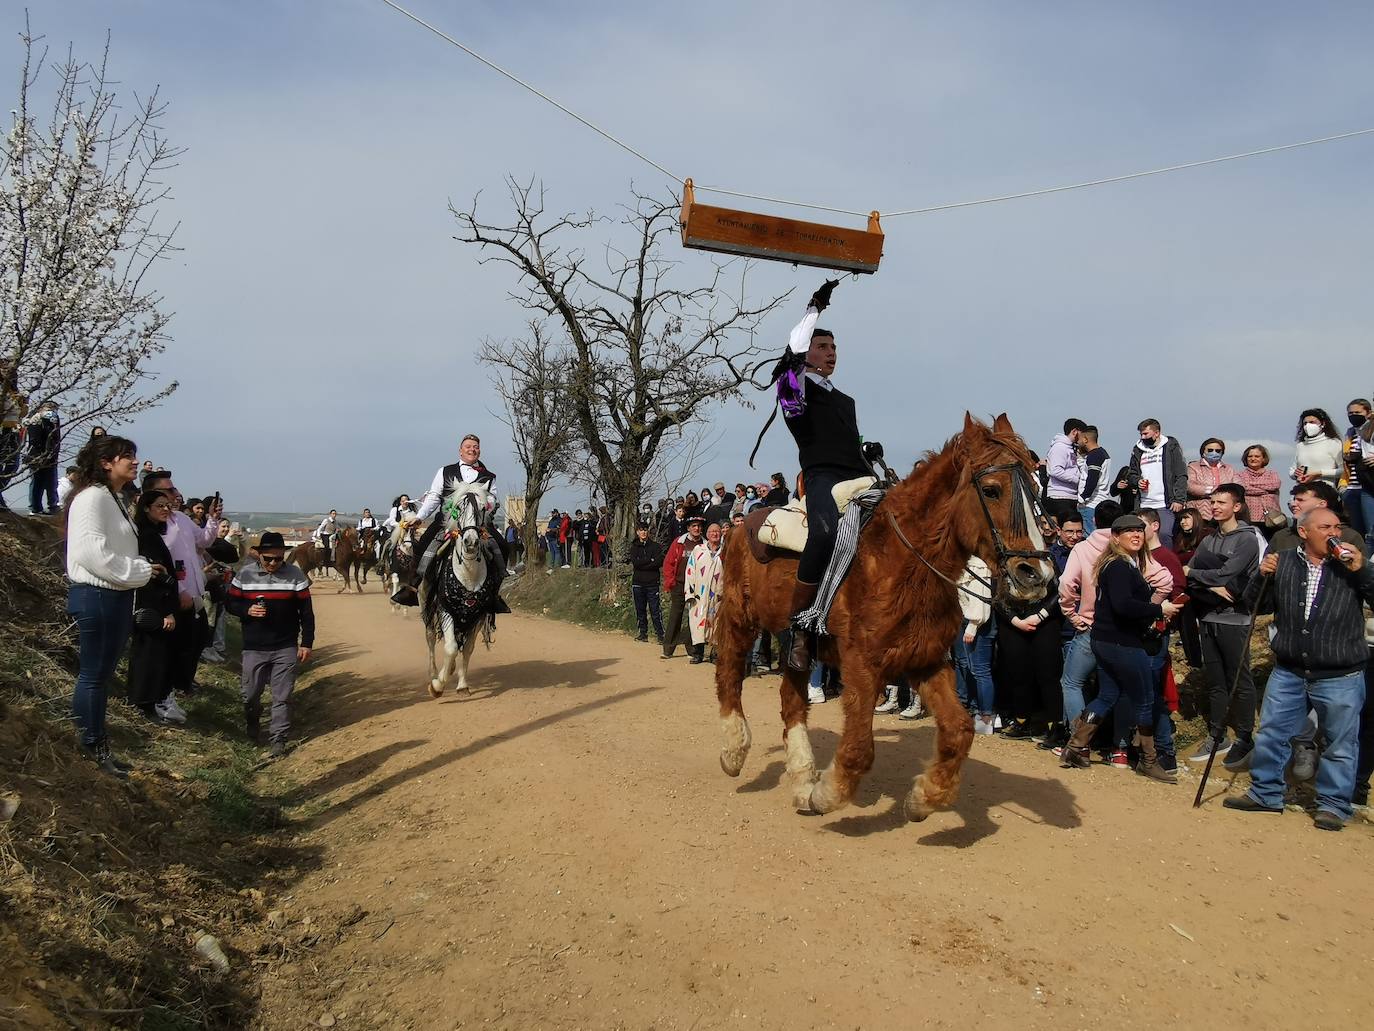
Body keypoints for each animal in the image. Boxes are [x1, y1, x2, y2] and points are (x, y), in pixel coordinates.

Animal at [420, 483, 502, 695]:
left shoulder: (477, 615)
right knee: (430, 636)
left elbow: (467, 648)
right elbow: (450, 648)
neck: (468, 573)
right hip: (426, 601)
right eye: (458, 507)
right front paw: (437, 686)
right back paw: (433, 673)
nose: (471, 542)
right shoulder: (445, 609)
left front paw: (462, 684)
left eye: (483, 508)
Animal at [708, 412, 1049, 824]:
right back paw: (734, 752)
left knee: (792, 700)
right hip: (739, 615)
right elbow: (858, 749)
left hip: (795, 644)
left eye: (1036, 488)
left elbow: (959, 731)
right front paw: (826, 795)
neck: (901, 563)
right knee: (728, 670)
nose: (1036, 575)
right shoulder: (861, 665)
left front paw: (923, 798)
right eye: (992, 490)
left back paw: (803, 778)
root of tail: (739, 526)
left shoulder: (926, 662)